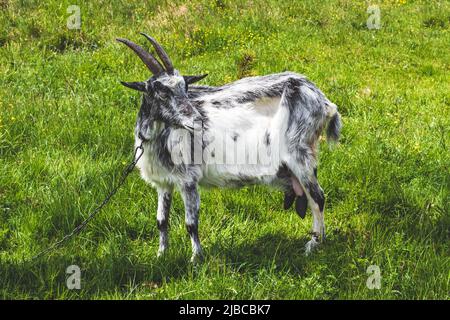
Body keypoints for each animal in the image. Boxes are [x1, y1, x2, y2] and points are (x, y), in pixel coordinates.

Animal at [116, 33, 342, 262]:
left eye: (185, 88)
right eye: (161, 92)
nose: (198, 120)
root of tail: (323, 101)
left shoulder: (189, 180)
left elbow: (191, 224)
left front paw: (196, 259)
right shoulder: (164, 183)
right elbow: (161, 221)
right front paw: (161, 255)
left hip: (300, 154)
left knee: (318, 198)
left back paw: (313, 245)